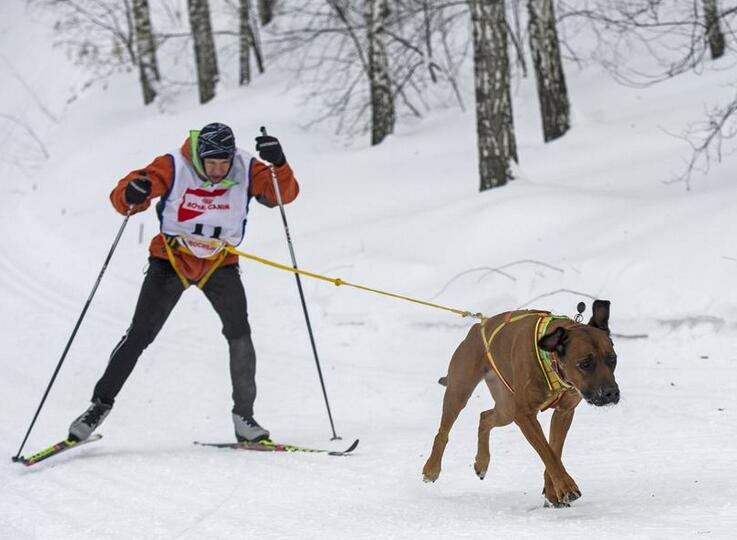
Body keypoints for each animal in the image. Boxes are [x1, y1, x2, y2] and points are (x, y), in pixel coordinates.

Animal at [420, 300, 616, 506]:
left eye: (613, 359)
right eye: (585, 364)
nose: (611, 393)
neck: (551, 360)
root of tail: (477, 327)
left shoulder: (564, 412)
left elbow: (554, 452)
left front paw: (553, 491)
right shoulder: (524, 415)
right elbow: (548, 453)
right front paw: (566, 487)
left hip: (506, 407)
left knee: (485, 417)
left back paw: (482, 462)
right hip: (460, 390)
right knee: (443, 431)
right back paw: (432, 468)